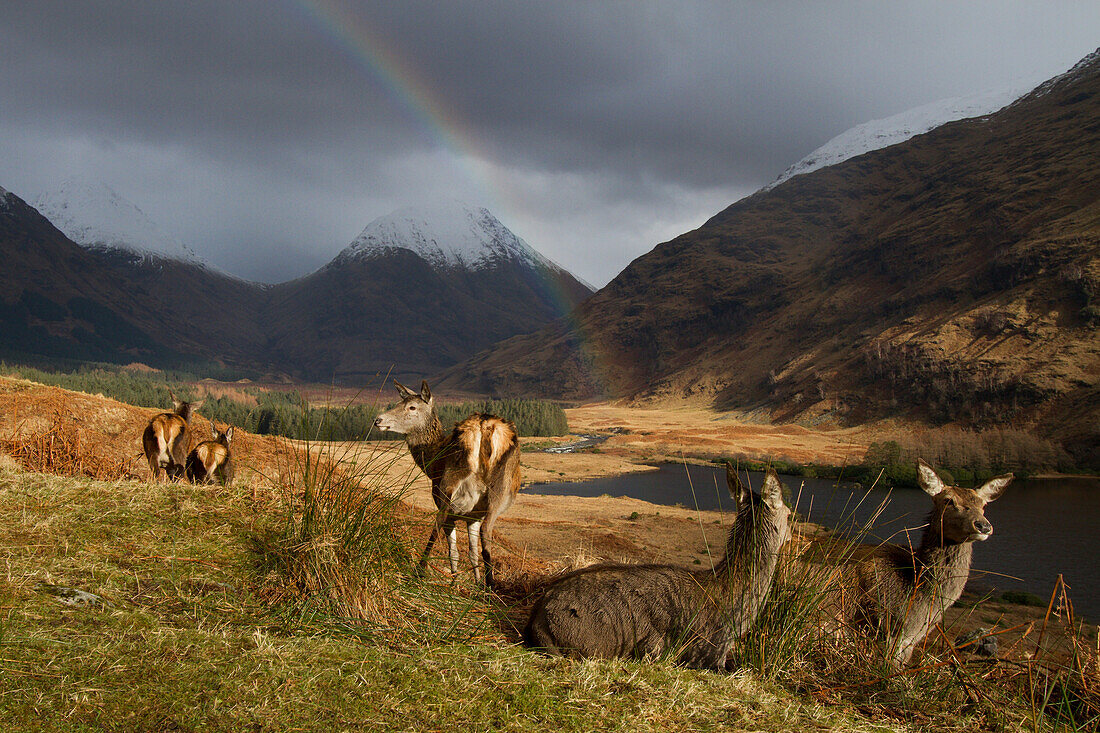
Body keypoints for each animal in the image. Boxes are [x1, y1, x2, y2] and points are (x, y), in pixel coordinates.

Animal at [371, 378, 521, 585]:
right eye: (398, 402)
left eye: (412, 407)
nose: (378, 420)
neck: (432, 463)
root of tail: (485, 427)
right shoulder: (473, 515)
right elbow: (472, 552)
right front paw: (475, 582)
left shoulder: (453, 508)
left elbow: (454, 552)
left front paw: (454, 582)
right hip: (500, 489)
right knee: (487, 531)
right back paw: (489, 583)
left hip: (448, 486)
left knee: (438, 523)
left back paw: (420, 570)